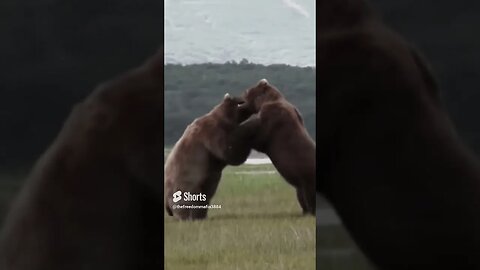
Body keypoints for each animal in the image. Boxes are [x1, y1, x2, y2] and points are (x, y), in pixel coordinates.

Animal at [232, 79, 316, 214]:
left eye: (246, 91)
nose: (237, 97)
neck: (267, 100)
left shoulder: (272, 122)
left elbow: (258, 136)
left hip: (308, 179)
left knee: (309, 196)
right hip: (301, 184)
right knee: (301, 196)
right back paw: (304, 212)